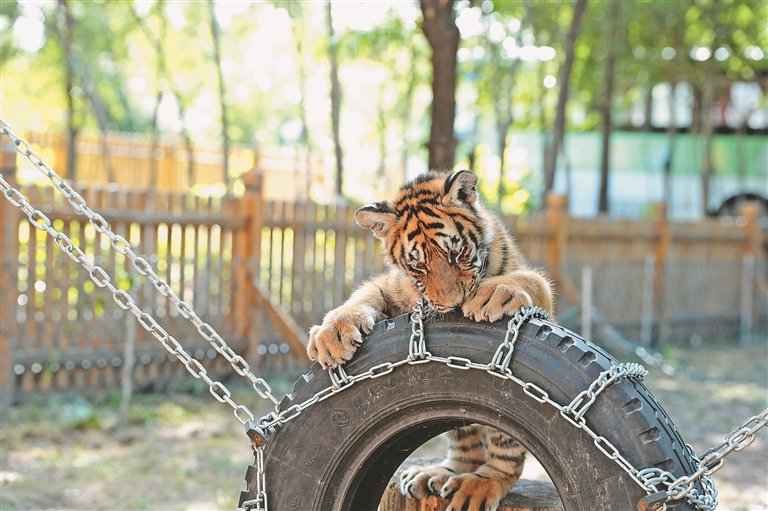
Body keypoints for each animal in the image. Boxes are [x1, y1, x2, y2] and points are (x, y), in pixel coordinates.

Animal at [307, 169, 554, 511]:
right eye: (418, 266)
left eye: (458, 253)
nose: (452, 304)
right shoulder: (392, 288)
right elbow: (363, 295)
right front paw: (332, 333)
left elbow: (531, 279)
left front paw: (495, 291)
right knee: (466, 447)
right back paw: (437, 474)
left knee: (504, 460)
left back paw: (479, 485)